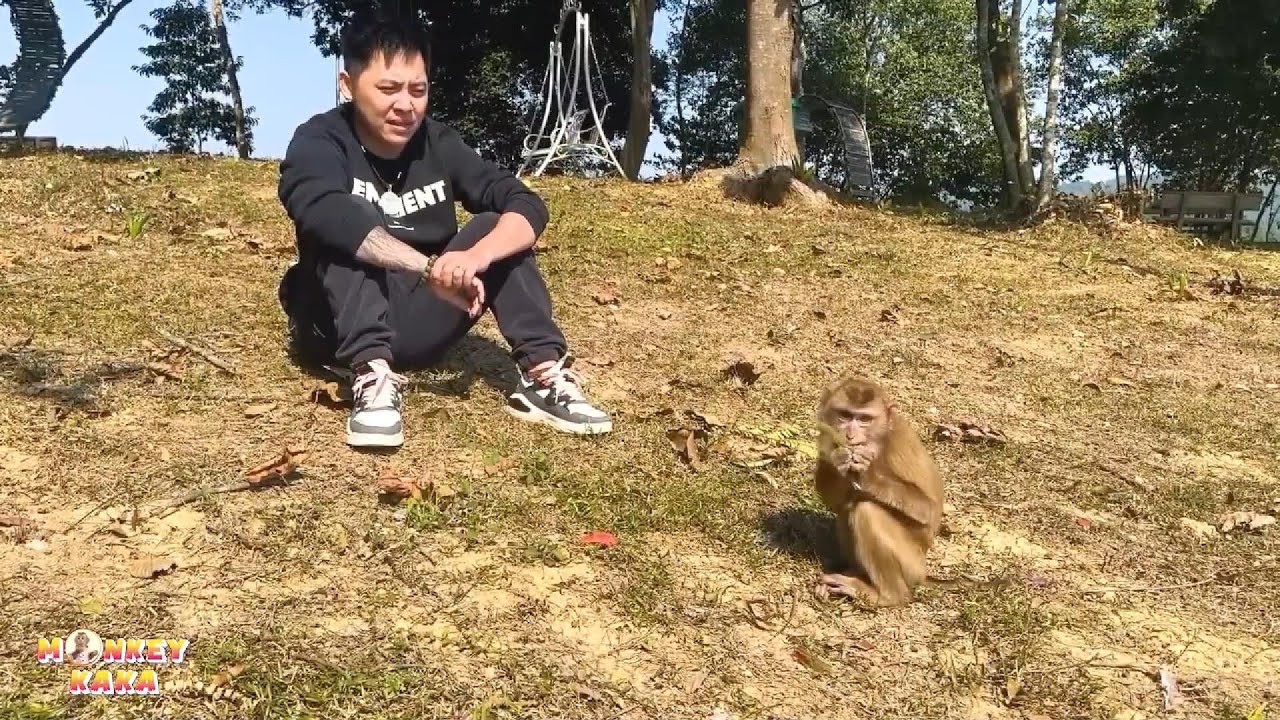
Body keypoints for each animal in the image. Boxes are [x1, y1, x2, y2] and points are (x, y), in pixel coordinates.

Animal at [811, 376, 945, 608]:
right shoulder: (826, 439)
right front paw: (840, 460)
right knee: (849, 507)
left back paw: (888, 595)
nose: (850, 436)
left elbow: (928, 509)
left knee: (866, 510)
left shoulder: (899, 442)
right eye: (845, 415)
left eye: (865, 419)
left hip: (911, 565)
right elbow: (836, 502)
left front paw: (868, 474)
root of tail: (923, 573)